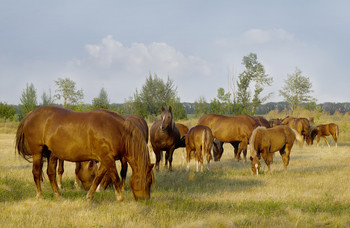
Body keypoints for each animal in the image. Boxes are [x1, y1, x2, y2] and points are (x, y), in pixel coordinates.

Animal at [15, 106, 154, 200]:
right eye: (148, 182)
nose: (145, 200)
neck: (117, 130)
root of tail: (29, 115)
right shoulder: (107, 158)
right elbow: (115, 177)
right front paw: (120, 198)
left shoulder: (106, 159)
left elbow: (98, 178)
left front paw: (89, 196)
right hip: (37, 152)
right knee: (36, 173)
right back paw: (40, 196)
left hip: (51, 153)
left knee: (50, 173)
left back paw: (58, 195)